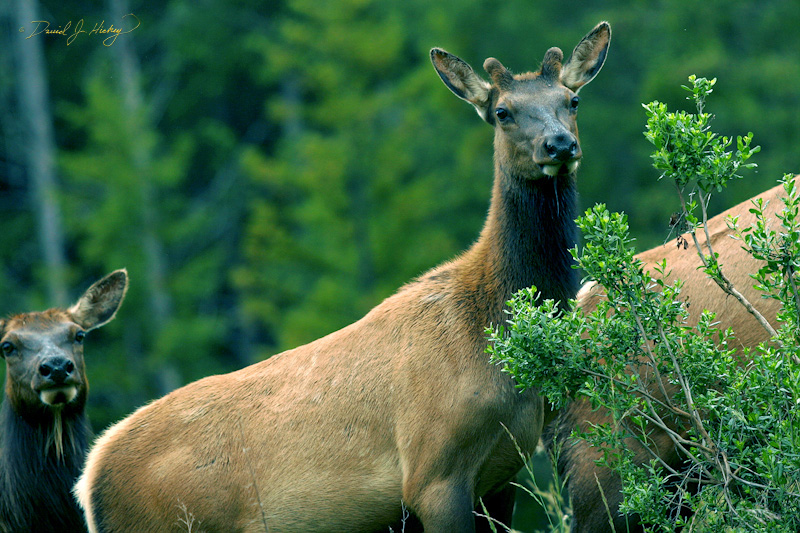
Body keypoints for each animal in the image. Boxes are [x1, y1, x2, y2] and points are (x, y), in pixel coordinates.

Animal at [75, 22, 610, 533]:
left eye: (572, 100)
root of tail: (89, 480)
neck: (493, 331)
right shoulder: (432, 473)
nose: (560, 143)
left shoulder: (503, 475)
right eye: (502, 111)